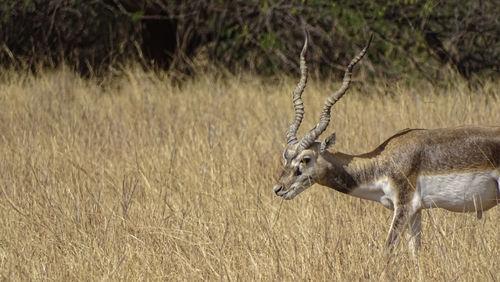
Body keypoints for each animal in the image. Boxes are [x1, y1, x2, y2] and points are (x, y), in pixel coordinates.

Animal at [274, 33, 500, 256]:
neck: (381, 163)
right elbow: (415, 252)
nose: (278, 188)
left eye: (306, 159)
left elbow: (387, 249)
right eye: (286, 155)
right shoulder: (415, 212)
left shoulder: (405, 205)